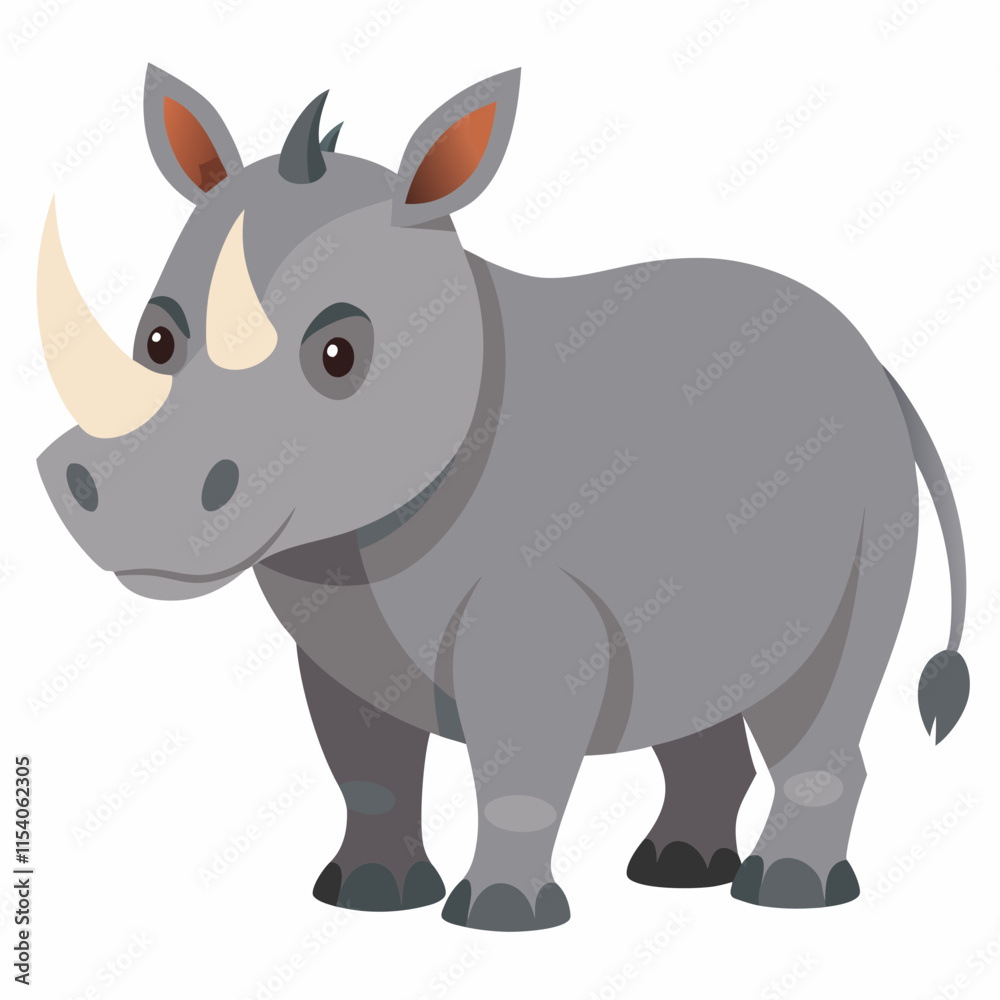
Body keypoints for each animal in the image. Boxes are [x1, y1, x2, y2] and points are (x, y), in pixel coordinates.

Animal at [36, 65, 971, 931]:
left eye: (340, 355)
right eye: (157, 340)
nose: (133, 501)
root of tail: (879, 366)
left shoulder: (533, 611)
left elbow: (518, 767)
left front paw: (499, 916)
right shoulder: (339, 624)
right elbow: (367, 768)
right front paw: (365, 898)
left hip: (869, 486)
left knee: (820, 692)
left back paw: (788, 894)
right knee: (698, 680)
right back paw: (677, 872)